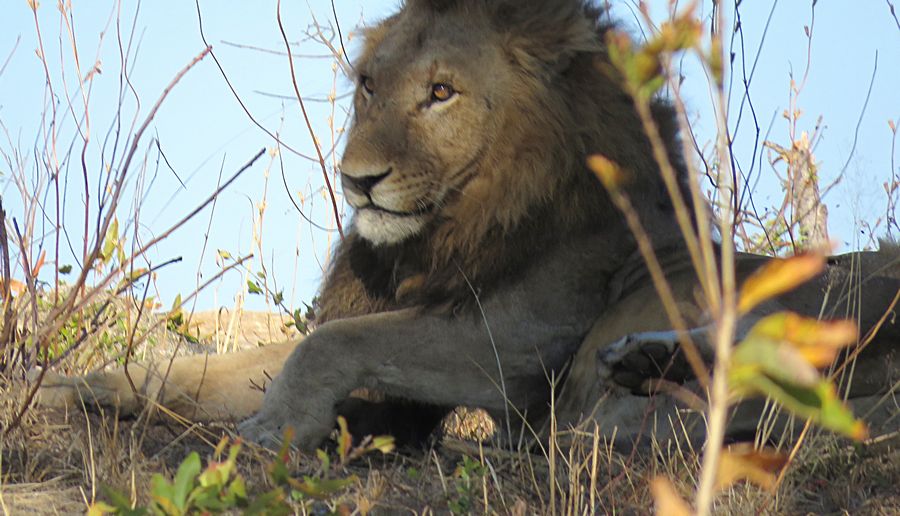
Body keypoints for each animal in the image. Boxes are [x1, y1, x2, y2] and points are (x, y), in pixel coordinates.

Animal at [35, 0, 899, 451]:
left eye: (441, 93)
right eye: (368, 87)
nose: (357, 179)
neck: (452, 230)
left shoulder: (511, 342)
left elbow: (326, 345)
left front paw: (274, 427)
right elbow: (222, 363)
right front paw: (77, 388)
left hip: (839, 288)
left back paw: (628, 384)